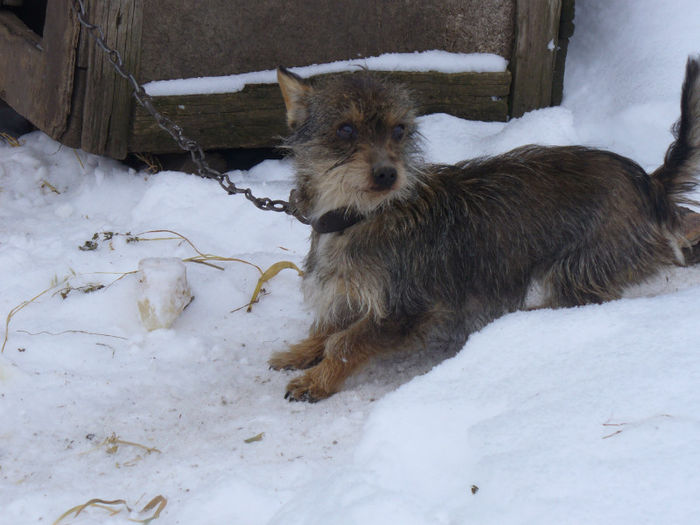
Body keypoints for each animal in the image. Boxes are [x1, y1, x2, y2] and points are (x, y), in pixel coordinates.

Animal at [268, 58, 700, 402]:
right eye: (345, 130)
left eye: (399, 131)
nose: (389, 174)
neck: (360, 216)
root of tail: (648, 183)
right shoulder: (349, 291)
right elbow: (328, 326)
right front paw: (301, 352)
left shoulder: (410, 307)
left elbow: (346, 340)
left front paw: (318, 380)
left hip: (578, 266)